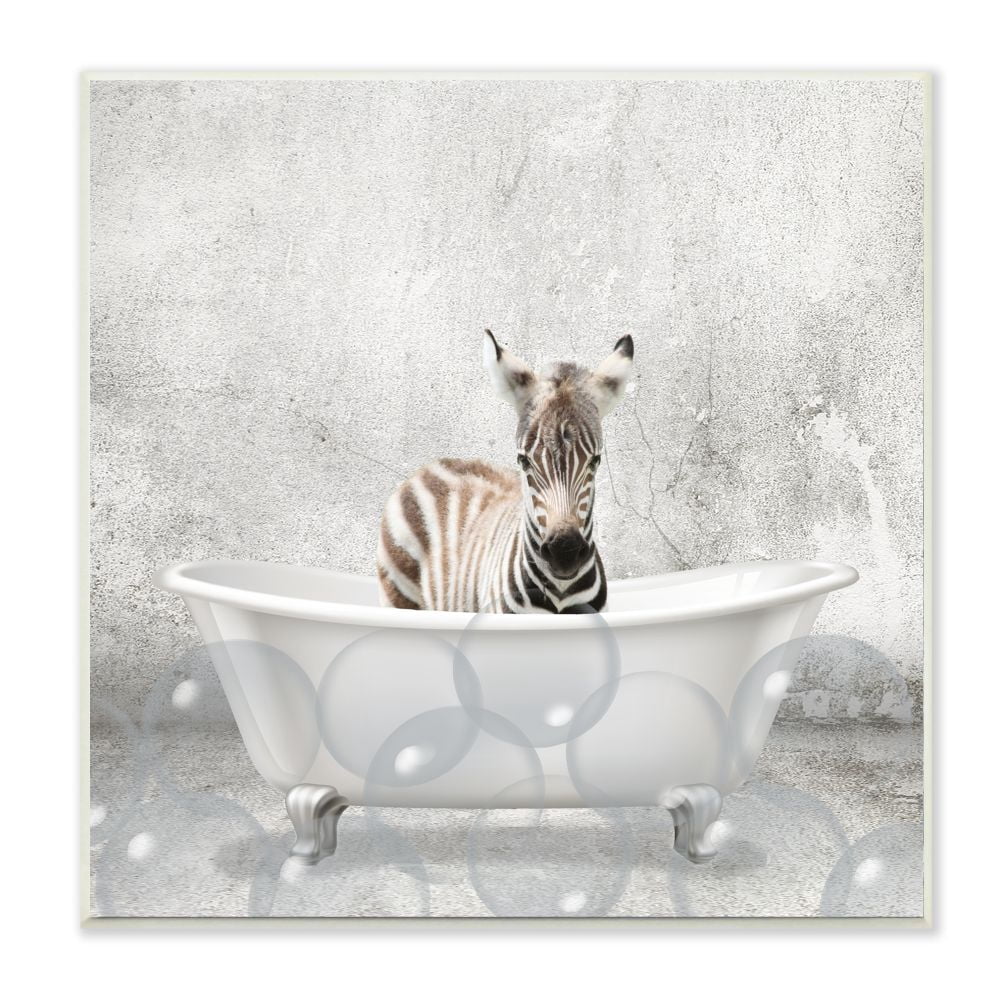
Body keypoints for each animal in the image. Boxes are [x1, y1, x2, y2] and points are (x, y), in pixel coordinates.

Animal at [376, 329, 634, 614]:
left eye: (595, 460)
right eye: (523, 460)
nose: (564, 553)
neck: (560, 591)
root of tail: (432, 464)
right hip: (398, 593)